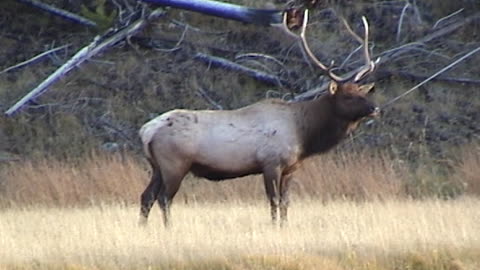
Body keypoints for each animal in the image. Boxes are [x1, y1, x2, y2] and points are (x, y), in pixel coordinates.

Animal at [138, 9, 378, 227]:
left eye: (363, 92)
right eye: (347, 96)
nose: (375, 108)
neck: (305, 135)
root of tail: (146, 131)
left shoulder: (291, 169)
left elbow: (286, 202)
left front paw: (284, 227)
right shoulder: (271, 163)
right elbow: (274, 201)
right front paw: (274, 227)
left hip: (157, 167)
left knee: (146, 196)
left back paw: (144, 228)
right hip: (175, 164)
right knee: (164, 199)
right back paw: (169, 228)